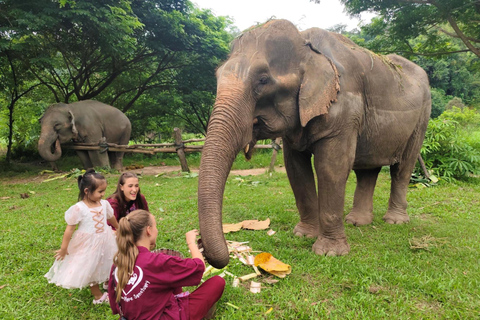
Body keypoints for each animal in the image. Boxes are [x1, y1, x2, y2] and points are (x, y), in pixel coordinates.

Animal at [196, 20, 432, 268]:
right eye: (217, 76)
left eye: (263, 80)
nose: (203, 248)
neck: (306, 45)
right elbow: (296, 169)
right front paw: (303, 235)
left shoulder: (344, 109)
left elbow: (331, 167)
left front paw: (330, 253)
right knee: (367, 170)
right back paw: (357, 222)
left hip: (422, 118)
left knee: (402, 168)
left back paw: (395, 221)